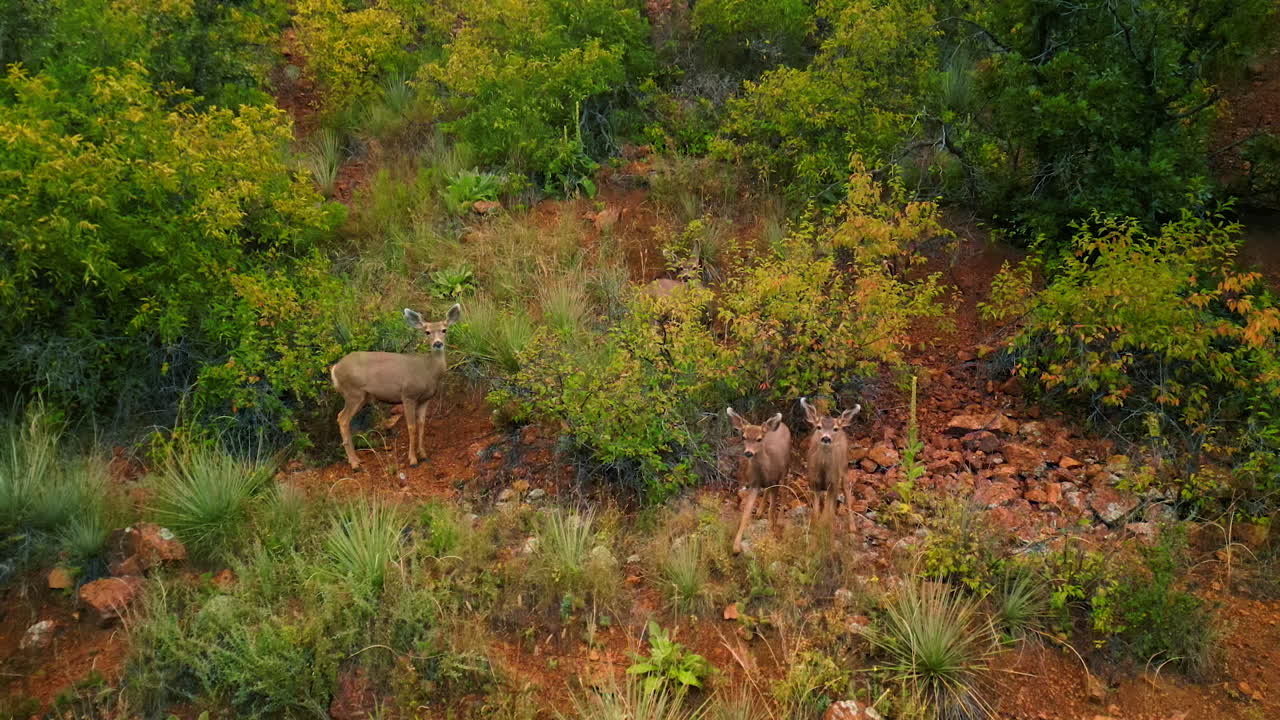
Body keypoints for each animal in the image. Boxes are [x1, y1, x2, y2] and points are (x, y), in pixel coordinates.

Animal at [330, 304, 461, 472]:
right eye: (427, 332)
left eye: (444, 329)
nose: (438, 343)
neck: (427, 371)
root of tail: (335, 368)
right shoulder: (408, 395)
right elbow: (411, 427)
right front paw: (413, 460)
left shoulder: (425, 399)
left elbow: (421, 425)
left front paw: (424, 454)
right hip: (353, 392)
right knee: (342, 419)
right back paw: (354, 463)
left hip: (361, 396)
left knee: (342, 417)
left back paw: (355, 460)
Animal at [726, 407, 792, 554]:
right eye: (743, 437)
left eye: (759, 439)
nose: (748, 453)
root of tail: (782, 424)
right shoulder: (754, 483)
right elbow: (746, 513)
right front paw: (736, 546)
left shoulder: (775, 481)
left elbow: (772, 510)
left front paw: (771, 534)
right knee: (767, 490)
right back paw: (760, 511)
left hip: (786, 467)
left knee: (785, 487)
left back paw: (780, 520)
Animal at [800, 397, 861, 528]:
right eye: (818, 427)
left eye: (835, 429)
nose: (826, 438)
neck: (823, 470)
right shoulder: (813, 482)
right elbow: (816, 511)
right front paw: (814, 525)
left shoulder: (833, 482)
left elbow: (827, 511)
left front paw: (825, 525)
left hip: (844, 468)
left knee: (847, 493)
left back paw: (852, 527)